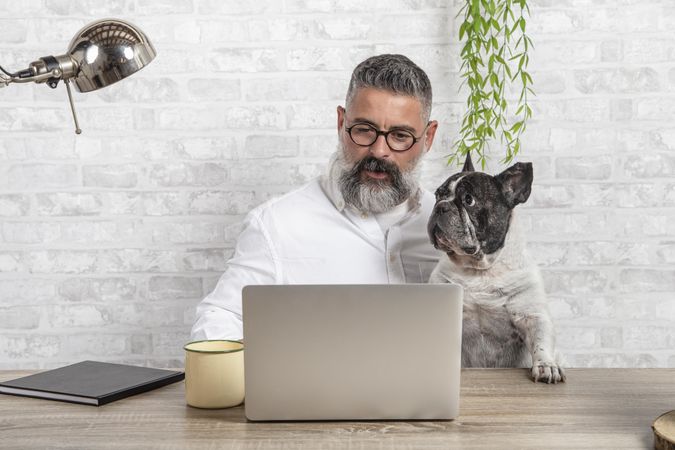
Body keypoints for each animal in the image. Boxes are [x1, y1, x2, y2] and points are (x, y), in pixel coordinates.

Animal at [428, 154, 564, 384]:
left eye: (469, 200)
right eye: (438, 195)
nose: (440, 207)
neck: (481, 269)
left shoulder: (532, 315)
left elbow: (541, 341)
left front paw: (547, 366)